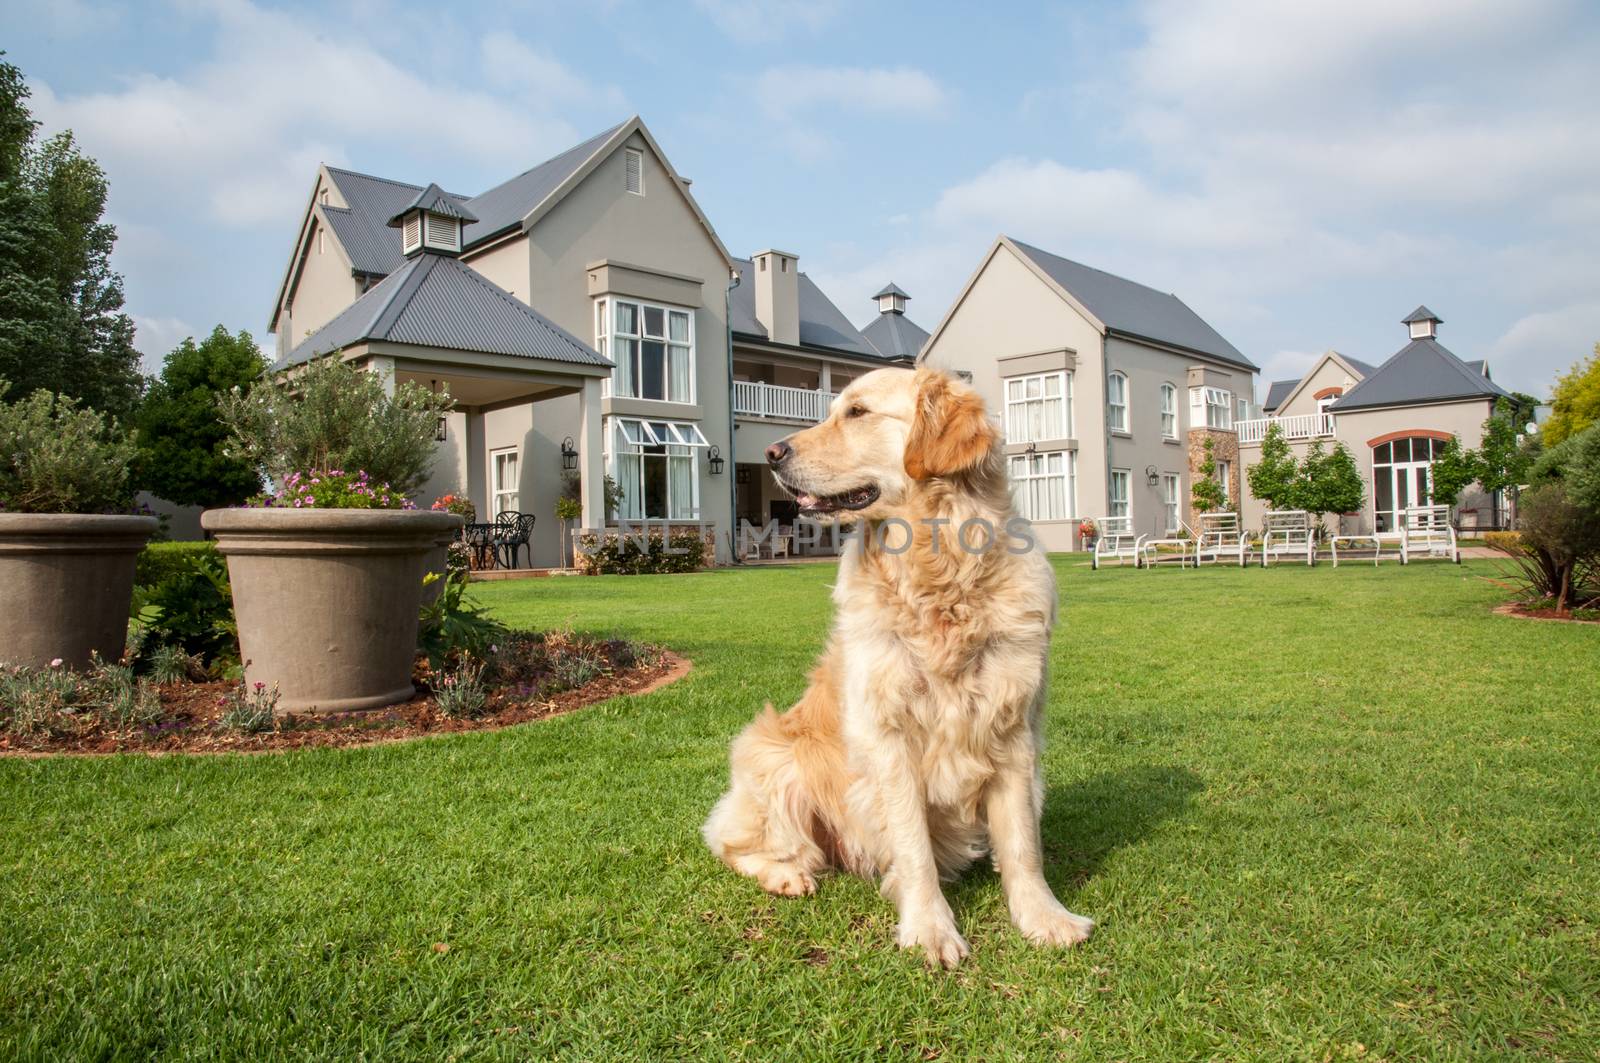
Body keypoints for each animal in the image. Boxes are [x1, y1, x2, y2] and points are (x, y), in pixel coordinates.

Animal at [707, 368, 1094, 973]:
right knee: (734, 843)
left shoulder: (1012, 727)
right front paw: (930, 929)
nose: (771, 452)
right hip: (774, 758)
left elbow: (1022, 844)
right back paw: (787, 875)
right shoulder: (888, 736)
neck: (940, 570)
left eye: (858, 412)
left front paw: (1043, 917)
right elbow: (913, 846)